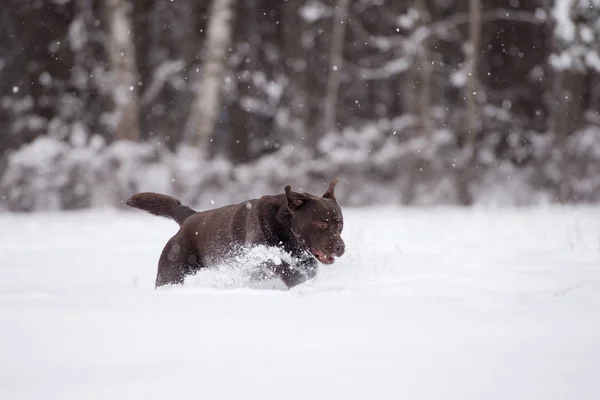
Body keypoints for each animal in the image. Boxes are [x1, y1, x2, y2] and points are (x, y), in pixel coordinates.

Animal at [124, 180, 344, 290]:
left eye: (340, 223)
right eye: (321, 223)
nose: (340, 247)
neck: (287, 231)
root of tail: (190, 217)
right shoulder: (258, 255)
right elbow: (284, 267)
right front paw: (298, 284)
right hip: (171, 272)